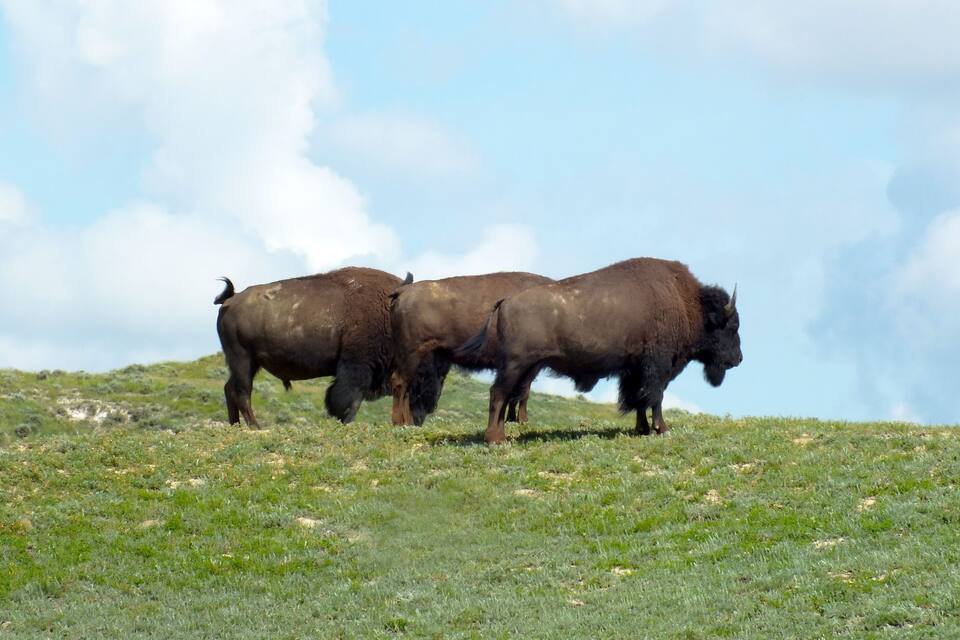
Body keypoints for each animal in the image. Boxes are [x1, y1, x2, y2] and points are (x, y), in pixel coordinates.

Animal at [214, 267, 438, 426]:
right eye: (425, 373)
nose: (420, 417)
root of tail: (231, 299)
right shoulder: (356, 368)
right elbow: (349, 401)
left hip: (249, 363)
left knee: (229, 389)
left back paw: (236, 425)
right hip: (242, 359)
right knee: (242, 392)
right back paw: (255, 427)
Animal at [389, 272, 554, 426]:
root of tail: (404, 291)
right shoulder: (529, 366)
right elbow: (522, 392)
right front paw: (521, 420)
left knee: (406, 387)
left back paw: (407, 423)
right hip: (412, 354)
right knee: (400, 382)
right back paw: (399, 422)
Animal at [459, 258, 742, 443]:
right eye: (731, 326)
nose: (738, 359)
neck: (688, 303)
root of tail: (505, 302)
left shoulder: (634, 370)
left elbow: (638, 400)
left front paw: (642, 429)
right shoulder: (656, 367)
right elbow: (655, 398)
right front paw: (661, 429)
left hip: (522, 367)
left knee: (504, 395)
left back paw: (499, 436)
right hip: (515, 364)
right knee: (498, 394)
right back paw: (495, 439)